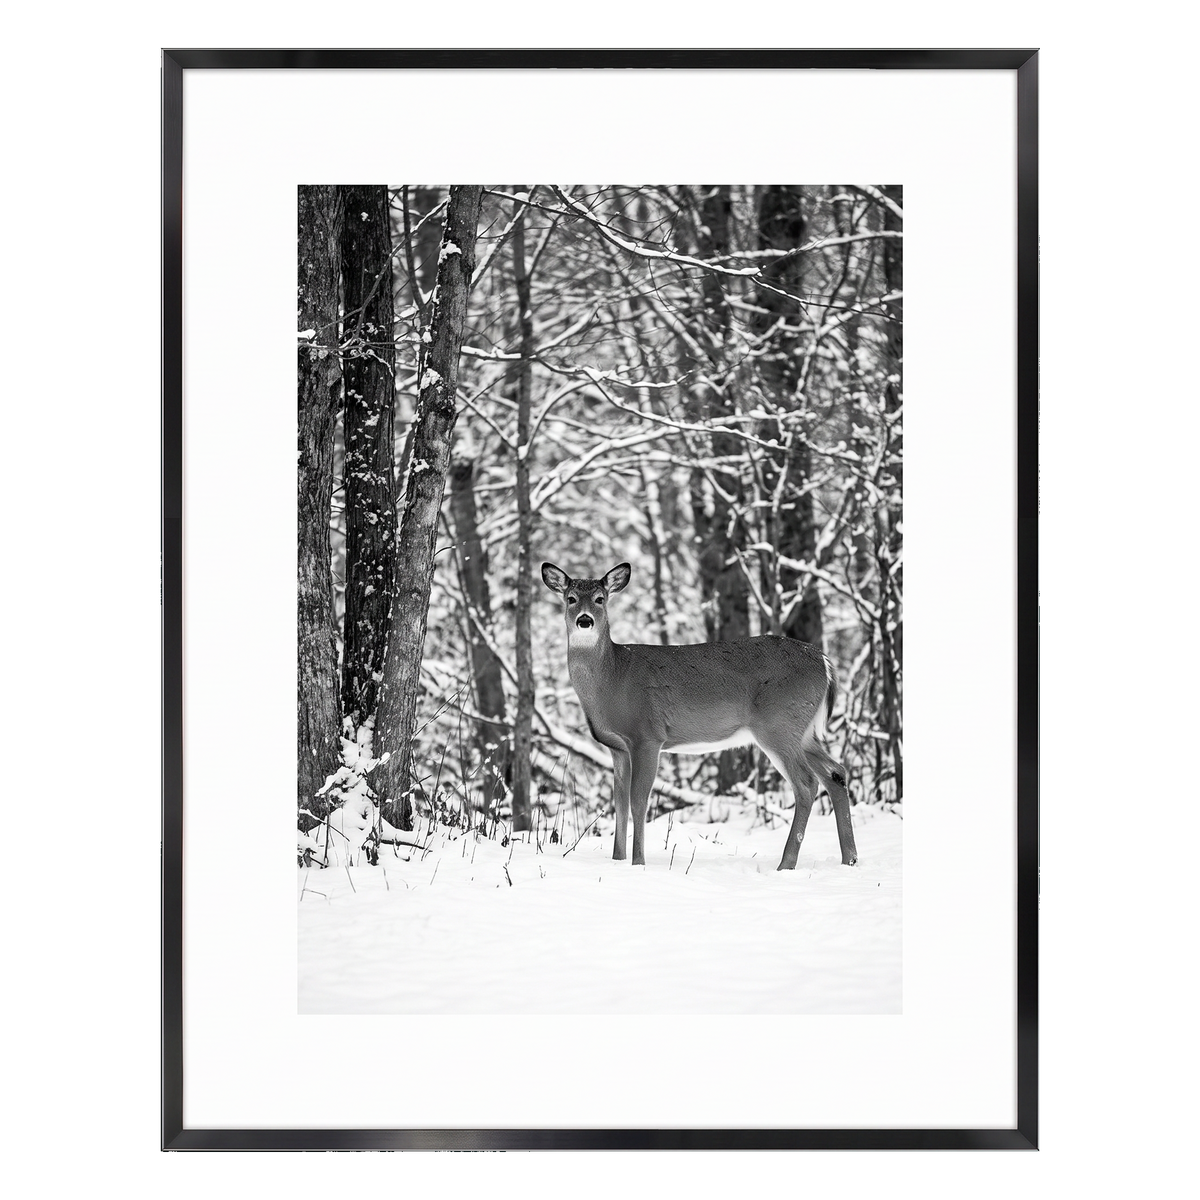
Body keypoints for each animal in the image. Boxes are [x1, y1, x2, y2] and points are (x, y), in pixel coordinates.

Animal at [541, 561, 858, 872]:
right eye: (570, 598)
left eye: (600, 599)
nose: (585, 621)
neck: (613, 677)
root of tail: (825, 662)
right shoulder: (617, 747)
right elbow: (619, 803)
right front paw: (617, 860)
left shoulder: (647, 735)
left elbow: (638, 801)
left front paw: (638, 863)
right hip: (803, 731)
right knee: (836, 774)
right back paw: (850, 859)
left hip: (778, 724)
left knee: (806, 783)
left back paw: (786, 864)